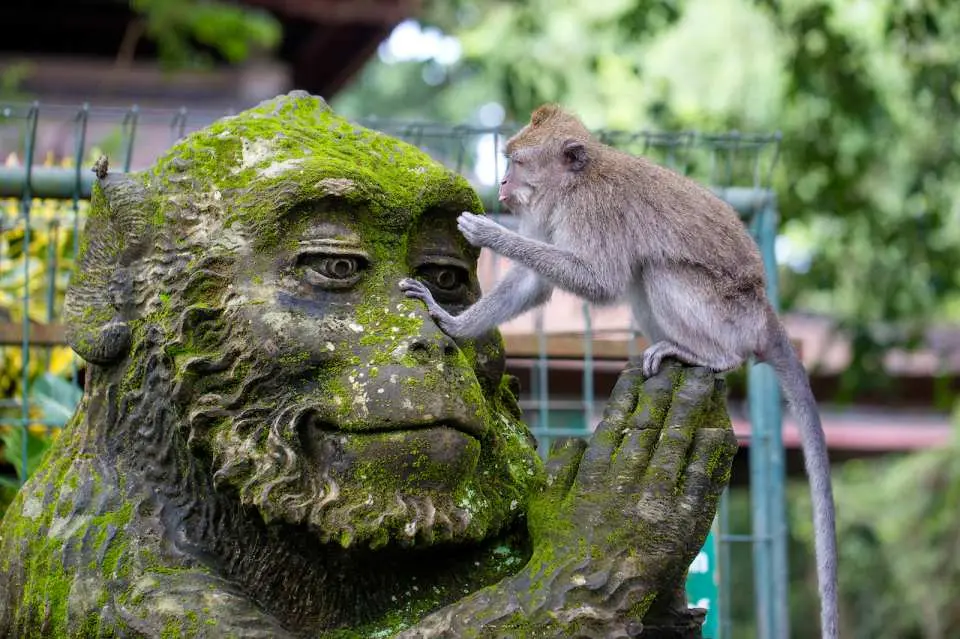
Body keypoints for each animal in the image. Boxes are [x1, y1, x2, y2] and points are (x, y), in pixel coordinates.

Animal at [399, 104, 839, 639]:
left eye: (517, 162)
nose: (501, 182)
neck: (575, 184)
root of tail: (765, 313)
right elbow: (535, 285)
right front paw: (452, 322)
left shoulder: (592, 211)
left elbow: (600, 280)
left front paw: (490, 233)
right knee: (640, 276)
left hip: (728, 315)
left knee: (655, 271)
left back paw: (710, 356)